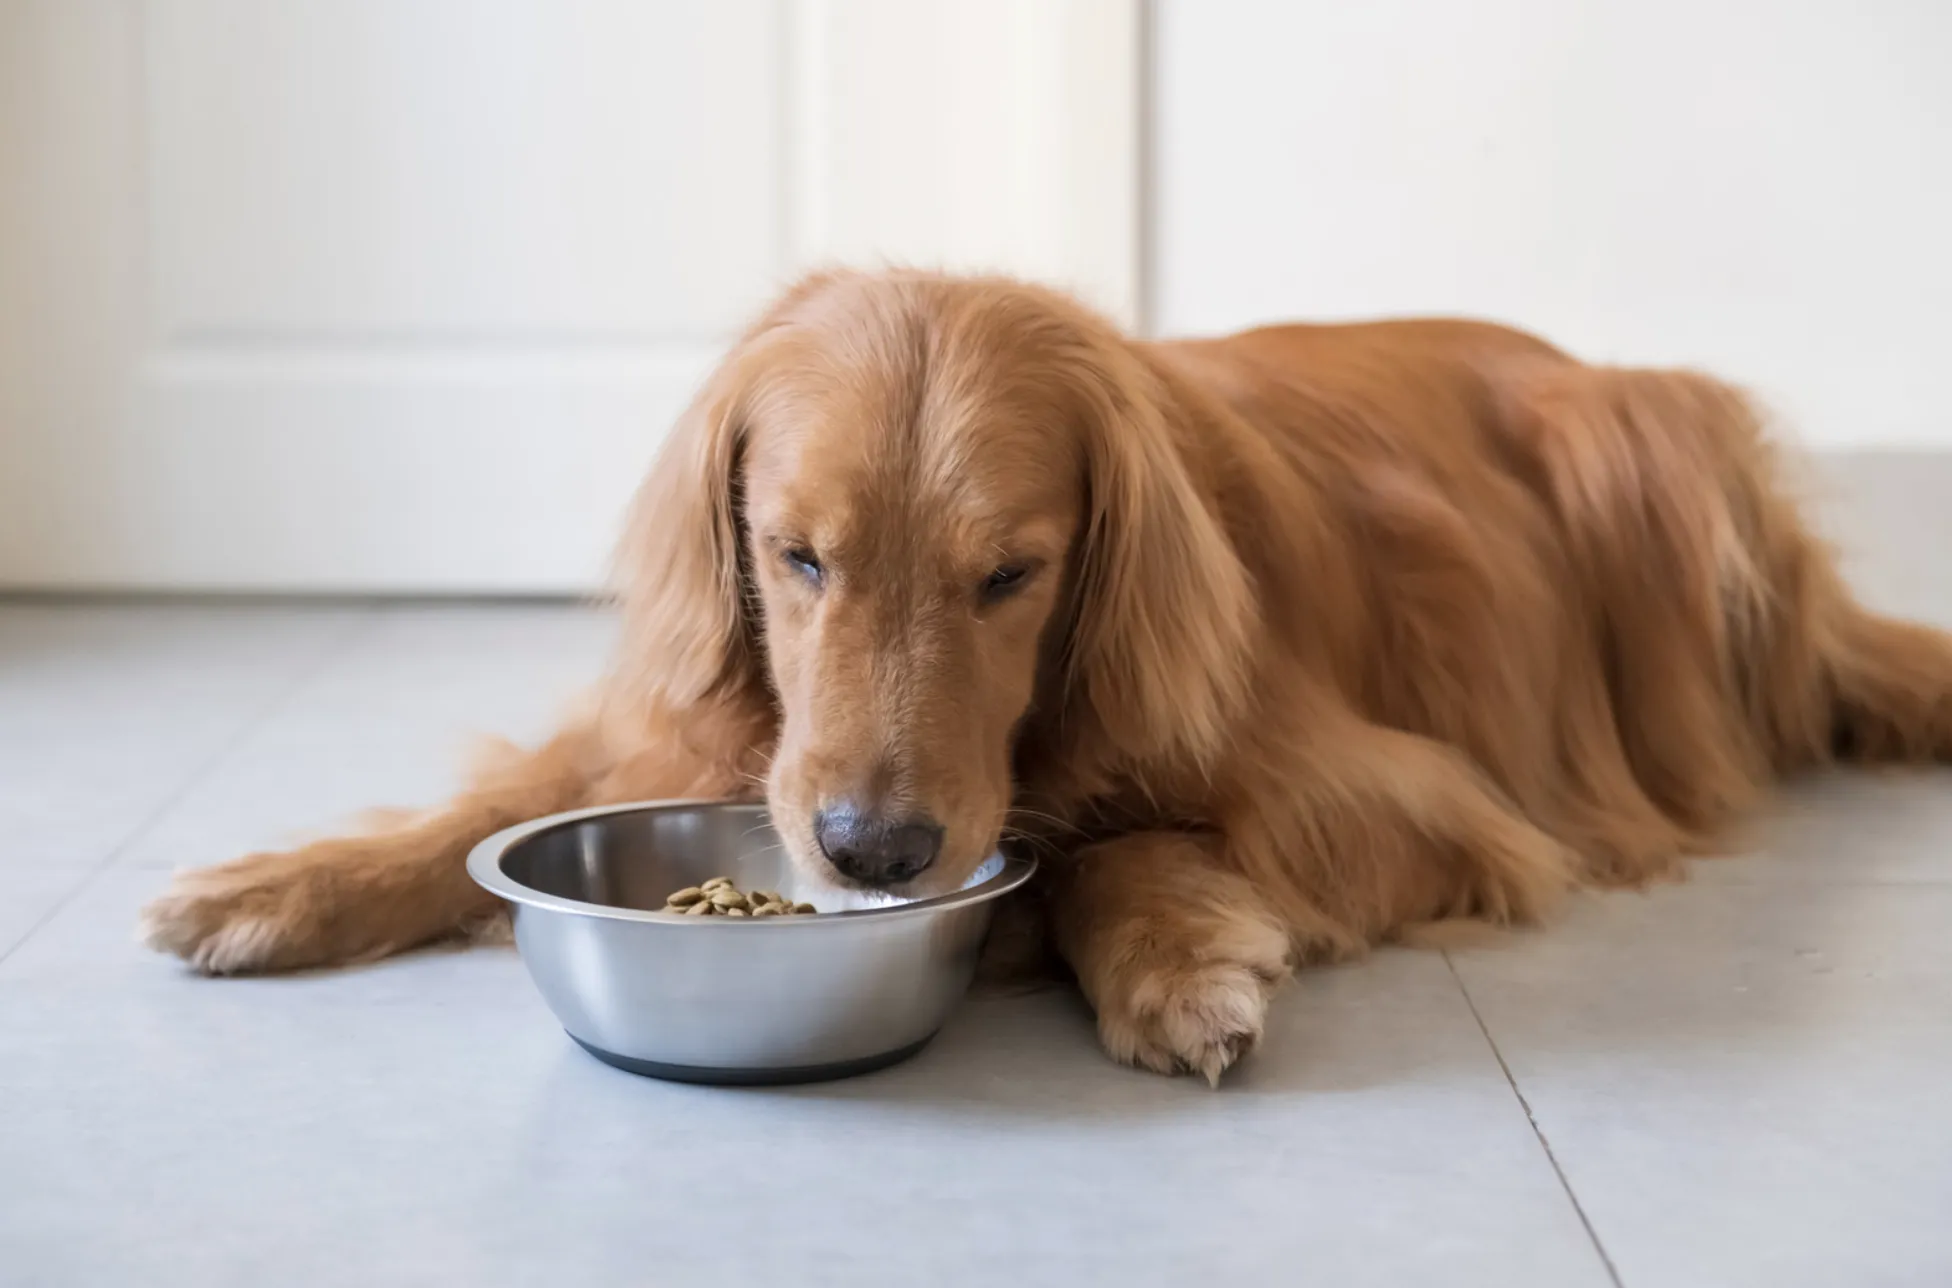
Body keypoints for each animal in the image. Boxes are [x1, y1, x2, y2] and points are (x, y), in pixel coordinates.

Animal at [144, 269, 1952, 1077]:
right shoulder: (710, 728)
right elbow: (503, 802)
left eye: (1009, 575)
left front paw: (1169, 960)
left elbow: (1102, 848)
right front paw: (279, 882)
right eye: (796, 556)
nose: (871, 853)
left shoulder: (1415, 799)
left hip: (1652, 464)